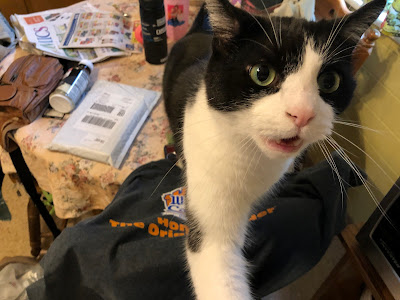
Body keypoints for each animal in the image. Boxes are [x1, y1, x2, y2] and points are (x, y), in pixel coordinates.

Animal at [162, 1, 384, 298]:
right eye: (262, 74)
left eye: (329, 82)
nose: (302, 114)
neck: (253, 155)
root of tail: (196, 31)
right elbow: (214, 252)